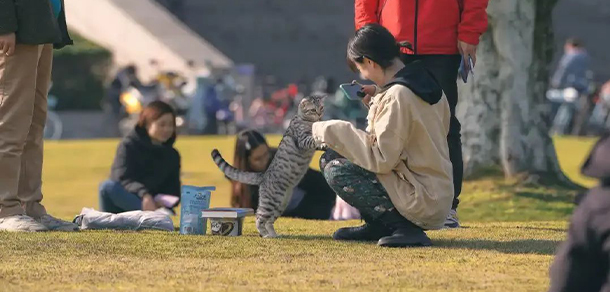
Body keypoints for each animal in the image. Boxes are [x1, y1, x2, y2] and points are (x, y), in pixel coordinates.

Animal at [211, 95, 326, 237]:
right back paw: (265, 235)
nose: (320, 114)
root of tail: (263, 175)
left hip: (280, 204)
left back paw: (273, 235)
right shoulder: (303, 139)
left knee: (269, 221)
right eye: (313, 110)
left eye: (321, 108)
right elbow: (314, 139)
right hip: (270, 202)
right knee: (259, 218)